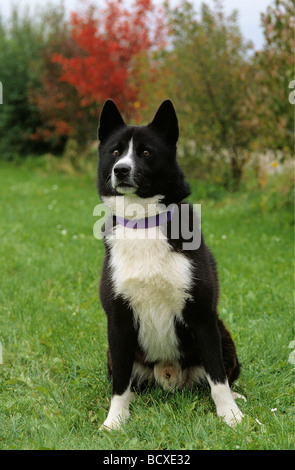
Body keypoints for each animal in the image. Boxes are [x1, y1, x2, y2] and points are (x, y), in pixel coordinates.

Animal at [97, 99, 245, 430]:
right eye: (115, 151)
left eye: (145, 152)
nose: (121, 169)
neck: (144, 222)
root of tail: (169, 376)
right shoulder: (118, 321)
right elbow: (120, 384)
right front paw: (115, 420)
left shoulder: (202, 316)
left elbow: (217, 377)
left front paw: (230, 415)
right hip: (113, 351)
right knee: (128, 380)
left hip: (222, 332)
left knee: (223, 373)